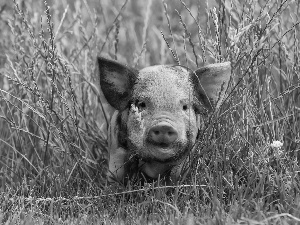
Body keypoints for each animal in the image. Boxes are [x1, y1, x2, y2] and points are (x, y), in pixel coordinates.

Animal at [97, 56, 231, 185]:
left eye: (185, 107)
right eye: (141, 104)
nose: (164, 125)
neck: (156, 167)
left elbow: (176, 176)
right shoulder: (116, 149)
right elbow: (117, 174)